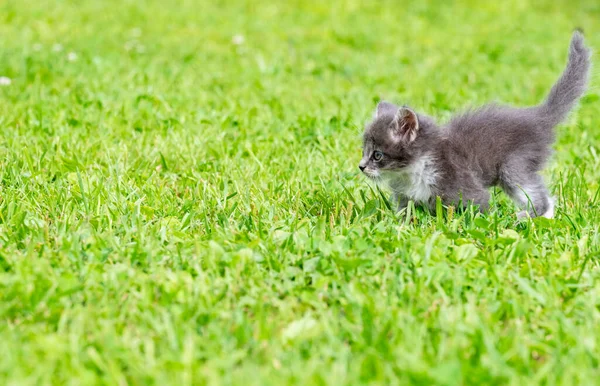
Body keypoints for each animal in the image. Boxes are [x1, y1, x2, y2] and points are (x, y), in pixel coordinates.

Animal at [360, 31, 592, 219]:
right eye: (364, 151)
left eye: (377, 155)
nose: (361, 166)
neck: (412, 171)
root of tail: (538, 116)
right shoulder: (405, 197)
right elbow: (406, 214)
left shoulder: (460, 182)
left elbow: (478, 207)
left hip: (515, 163)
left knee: (538, 195)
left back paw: (529, 217)